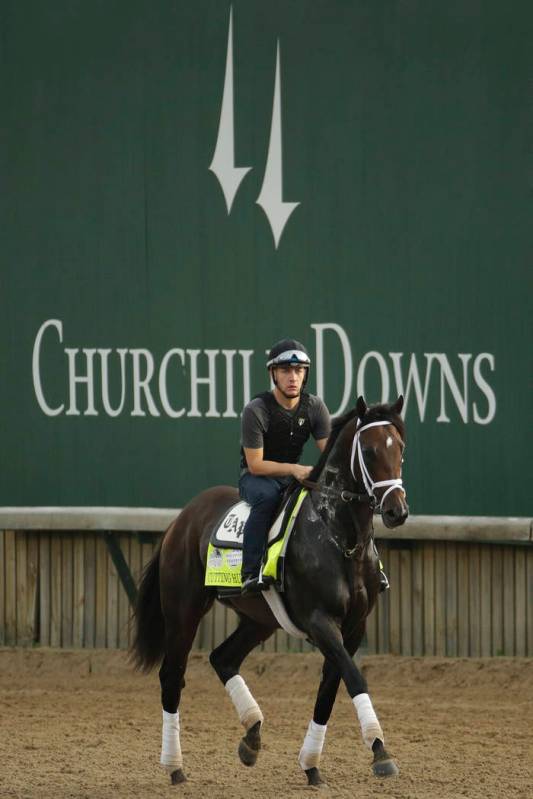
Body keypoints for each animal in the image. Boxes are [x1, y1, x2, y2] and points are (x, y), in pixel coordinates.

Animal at [132, 394, 408, 788]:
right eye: (368, 451)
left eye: (399, 447)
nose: (397, 510)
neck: (340, 538)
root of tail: (180, 520)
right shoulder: (320, 622)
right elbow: (354, 677)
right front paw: (380, 750)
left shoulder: (354, 628)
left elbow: (330, 688)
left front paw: (311, 765)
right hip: (183, 611)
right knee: (172, 676)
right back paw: (175, 766)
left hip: (259, 619)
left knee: (223, 658)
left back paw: (252, 735)